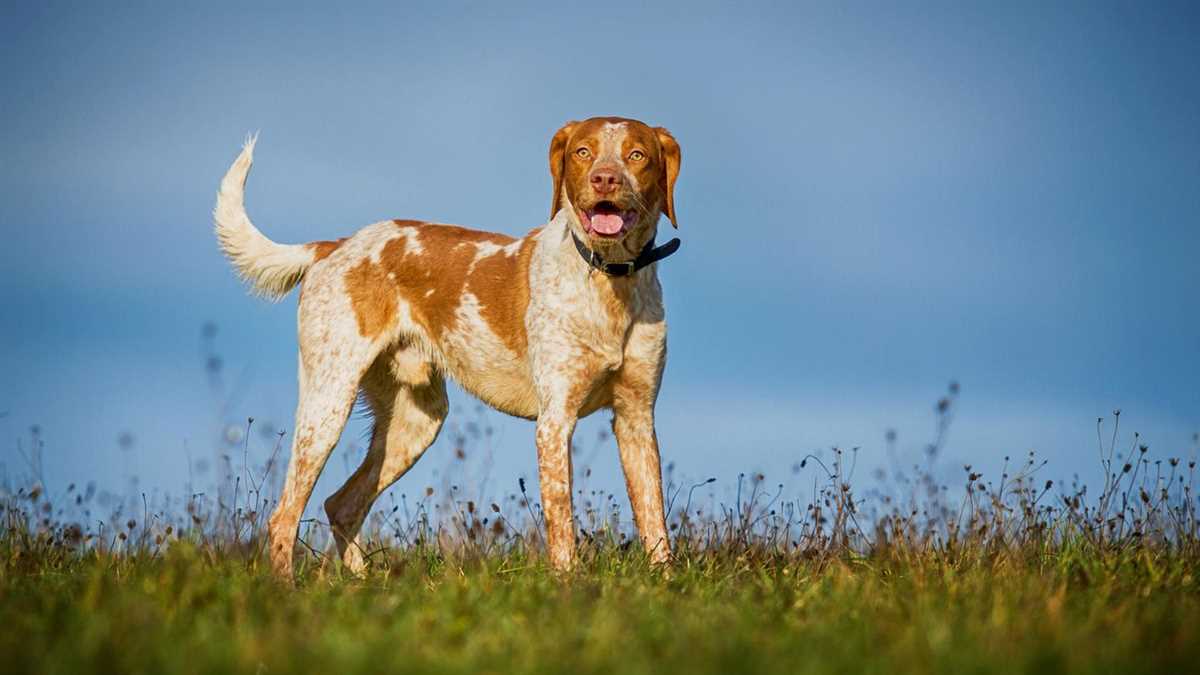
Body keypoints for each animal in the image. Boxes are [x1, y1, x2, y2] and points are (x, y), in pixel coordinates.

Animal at [214, 117, 681, 578]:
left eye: (636, 154)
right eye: (583, 152)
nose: (605, 179)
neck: (610, 279)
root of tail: (334, 246)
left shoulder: (637, 418)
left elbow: (654, 517)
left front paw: (664, 582)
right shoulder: (555, 420)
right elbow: (562, 522)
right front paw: (568, 584)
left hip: (415, 421)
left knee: (341, 504)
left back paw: (362, 586)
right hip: (327, 404)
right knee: (284, 516)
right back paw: (289, 589)